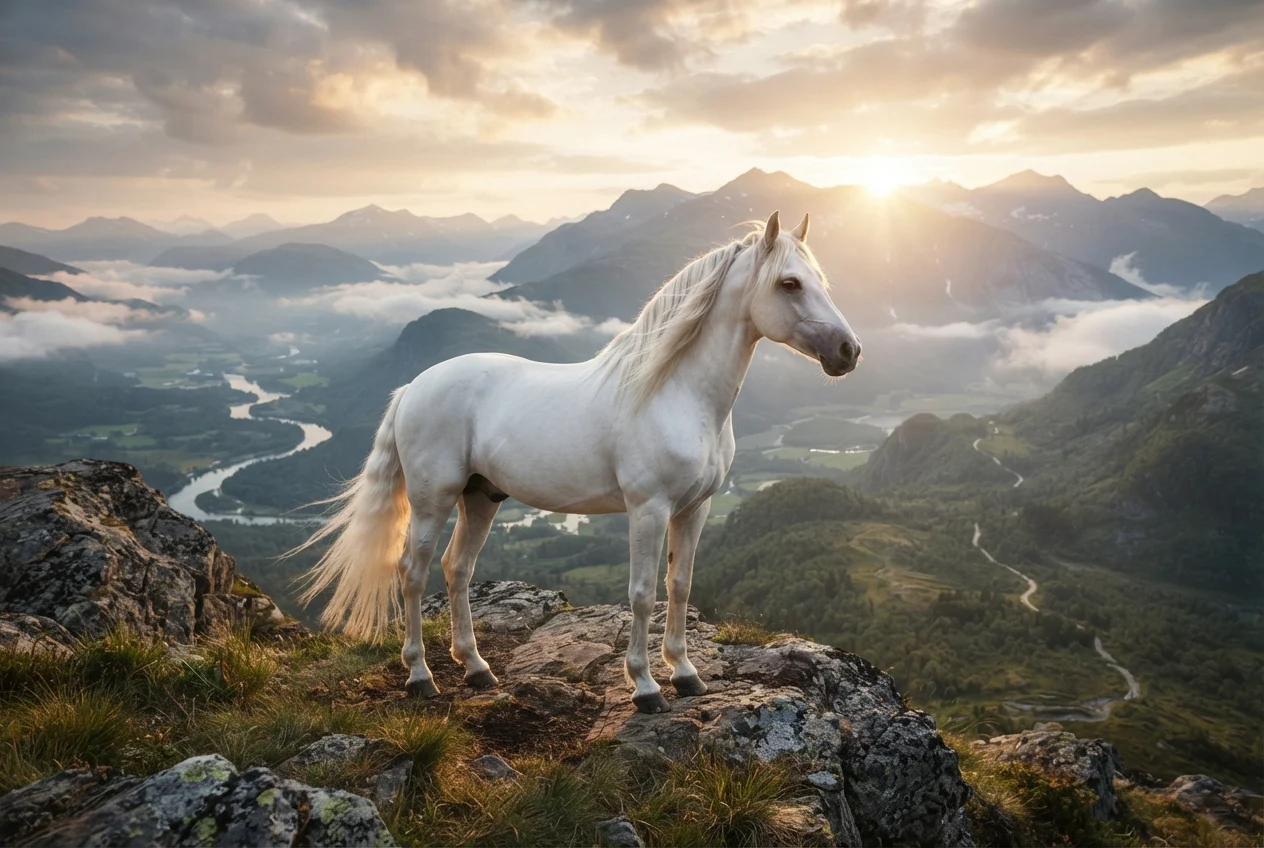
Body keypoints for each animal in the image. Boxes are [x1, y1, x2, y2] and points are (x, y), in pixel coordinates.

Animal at [294, 210, 861, 714]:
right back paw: (420, 676)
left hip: (481, 496)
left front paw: (685, 674)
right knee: (413, 572)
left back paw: (476, 669)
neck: (677, 393)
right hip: (433, 499)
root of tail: (414, 385)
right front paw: (645, 687)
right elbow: (641, 594)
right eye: (789, 283)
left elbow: (679, 586)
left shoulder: (694, 508)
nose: (848, 350)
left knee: (457, 569)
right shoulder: (648, 509)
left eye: (821, 280)